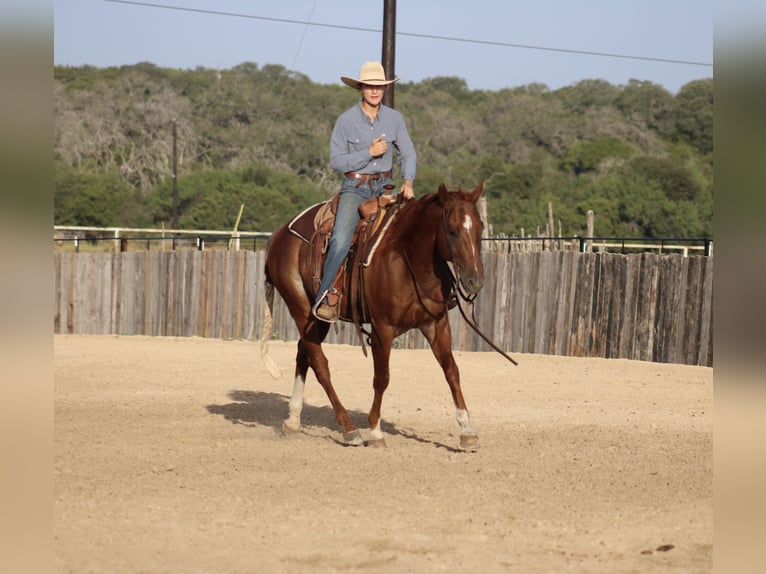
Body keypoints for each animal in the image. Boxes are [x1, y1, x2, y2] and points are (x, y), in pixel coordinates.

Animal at [260, 181, 486, 450]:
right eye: (451, 230)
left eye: (480, 228)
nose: (475, 280)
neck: (408, 258)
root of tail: (279, 234)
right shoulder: (382, 330)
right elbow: (382, 378)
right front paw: (376, 431)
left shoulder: (436, 325)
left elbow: (452, 371)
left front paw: (467, 430)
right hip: (300, 309)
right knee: (320, 364)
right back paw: (349, 429)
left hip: (317, 319)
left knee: (303, 355)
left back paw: (293, 421)